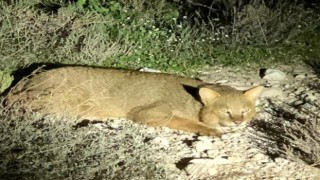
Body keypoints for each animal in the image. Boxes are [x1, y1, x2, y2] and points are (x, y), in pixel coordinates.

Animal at [6, 66, 264, 136]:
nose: (239, 122)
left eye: (245, 111)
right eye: (226, 111)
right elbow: (184, 121)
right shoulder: (147, 113)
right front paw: (209, 130)